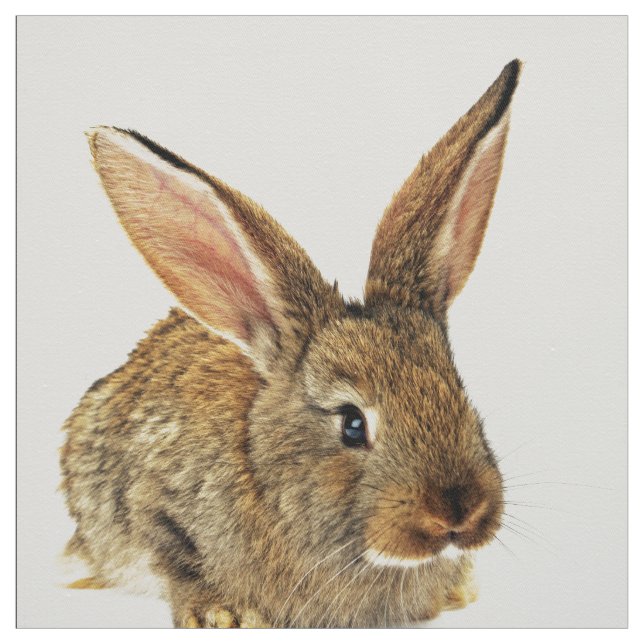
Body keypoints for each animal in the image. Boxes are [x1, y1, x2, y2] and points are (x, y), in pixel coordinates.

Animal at [60, 59, 521, 628]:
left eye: (462, 398)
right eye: (352, 424)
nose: (457, 512)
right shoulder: (151, 500)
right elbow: (173, 559)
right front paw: (218, 614)